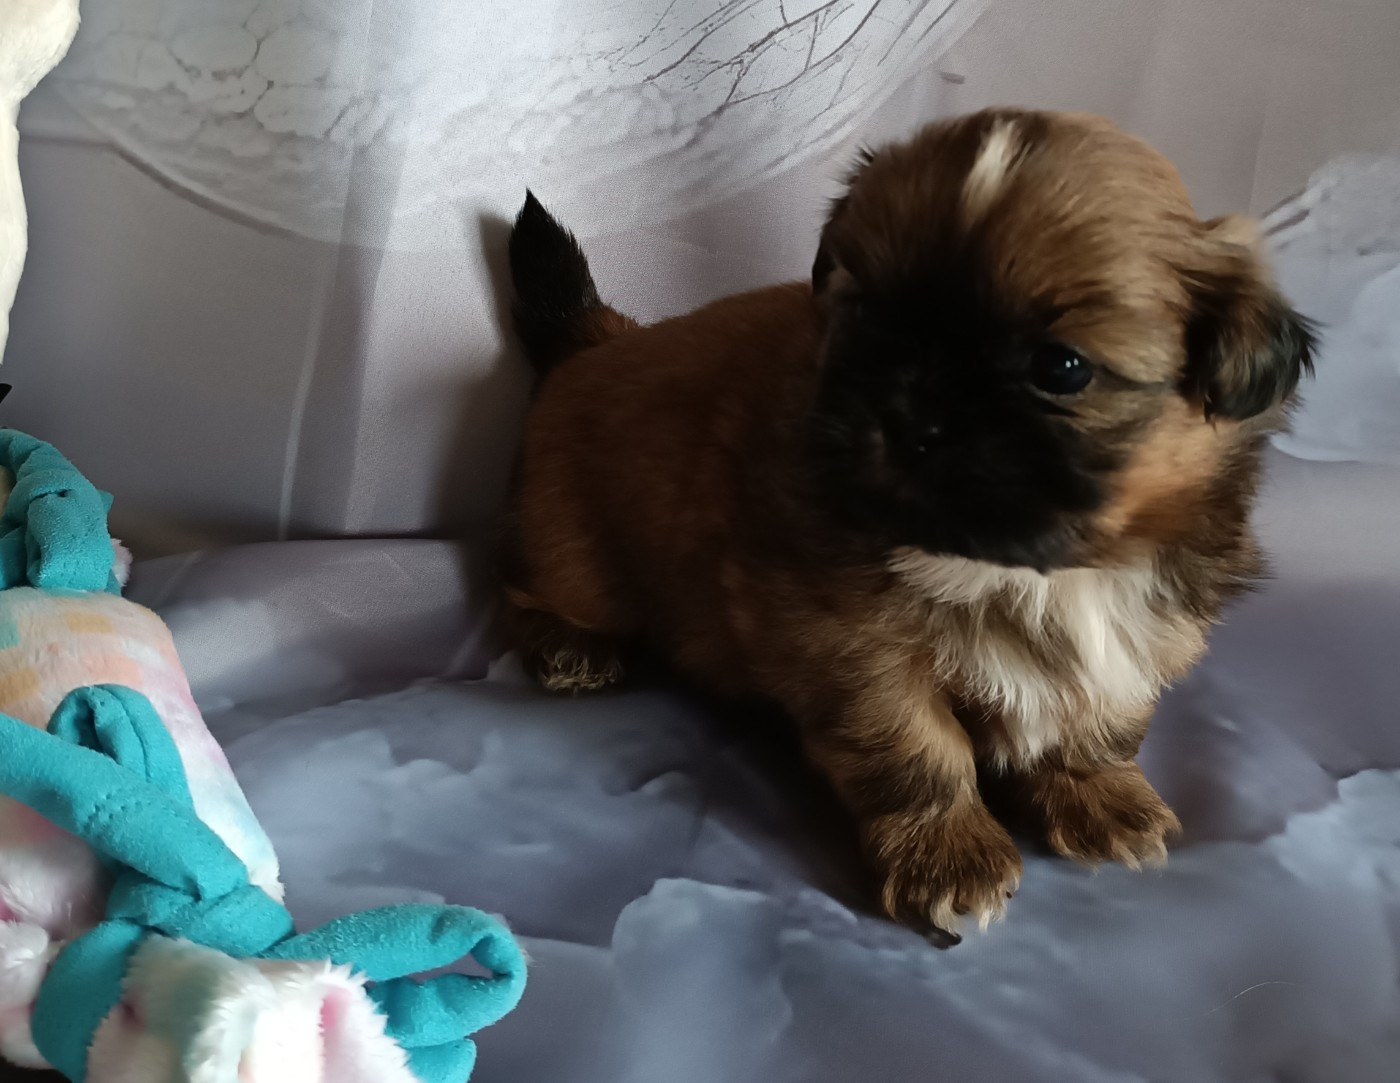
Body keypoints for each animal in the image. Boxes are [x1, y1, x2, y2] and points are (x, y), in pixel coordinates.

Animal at [501, 108, 1315, 939]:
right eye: (869, 317)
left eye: (1062, 368)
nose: (911, 413)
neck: (1027, 567)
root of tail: (602, 339)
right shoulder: (854, 652)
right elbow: (917, 748)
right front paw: (946, 855)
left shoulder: (1142, 631)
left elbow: (1102, 717)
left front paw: (1098, 793)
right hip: (574, 541)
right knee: (533, 590)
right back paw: (570, 645)